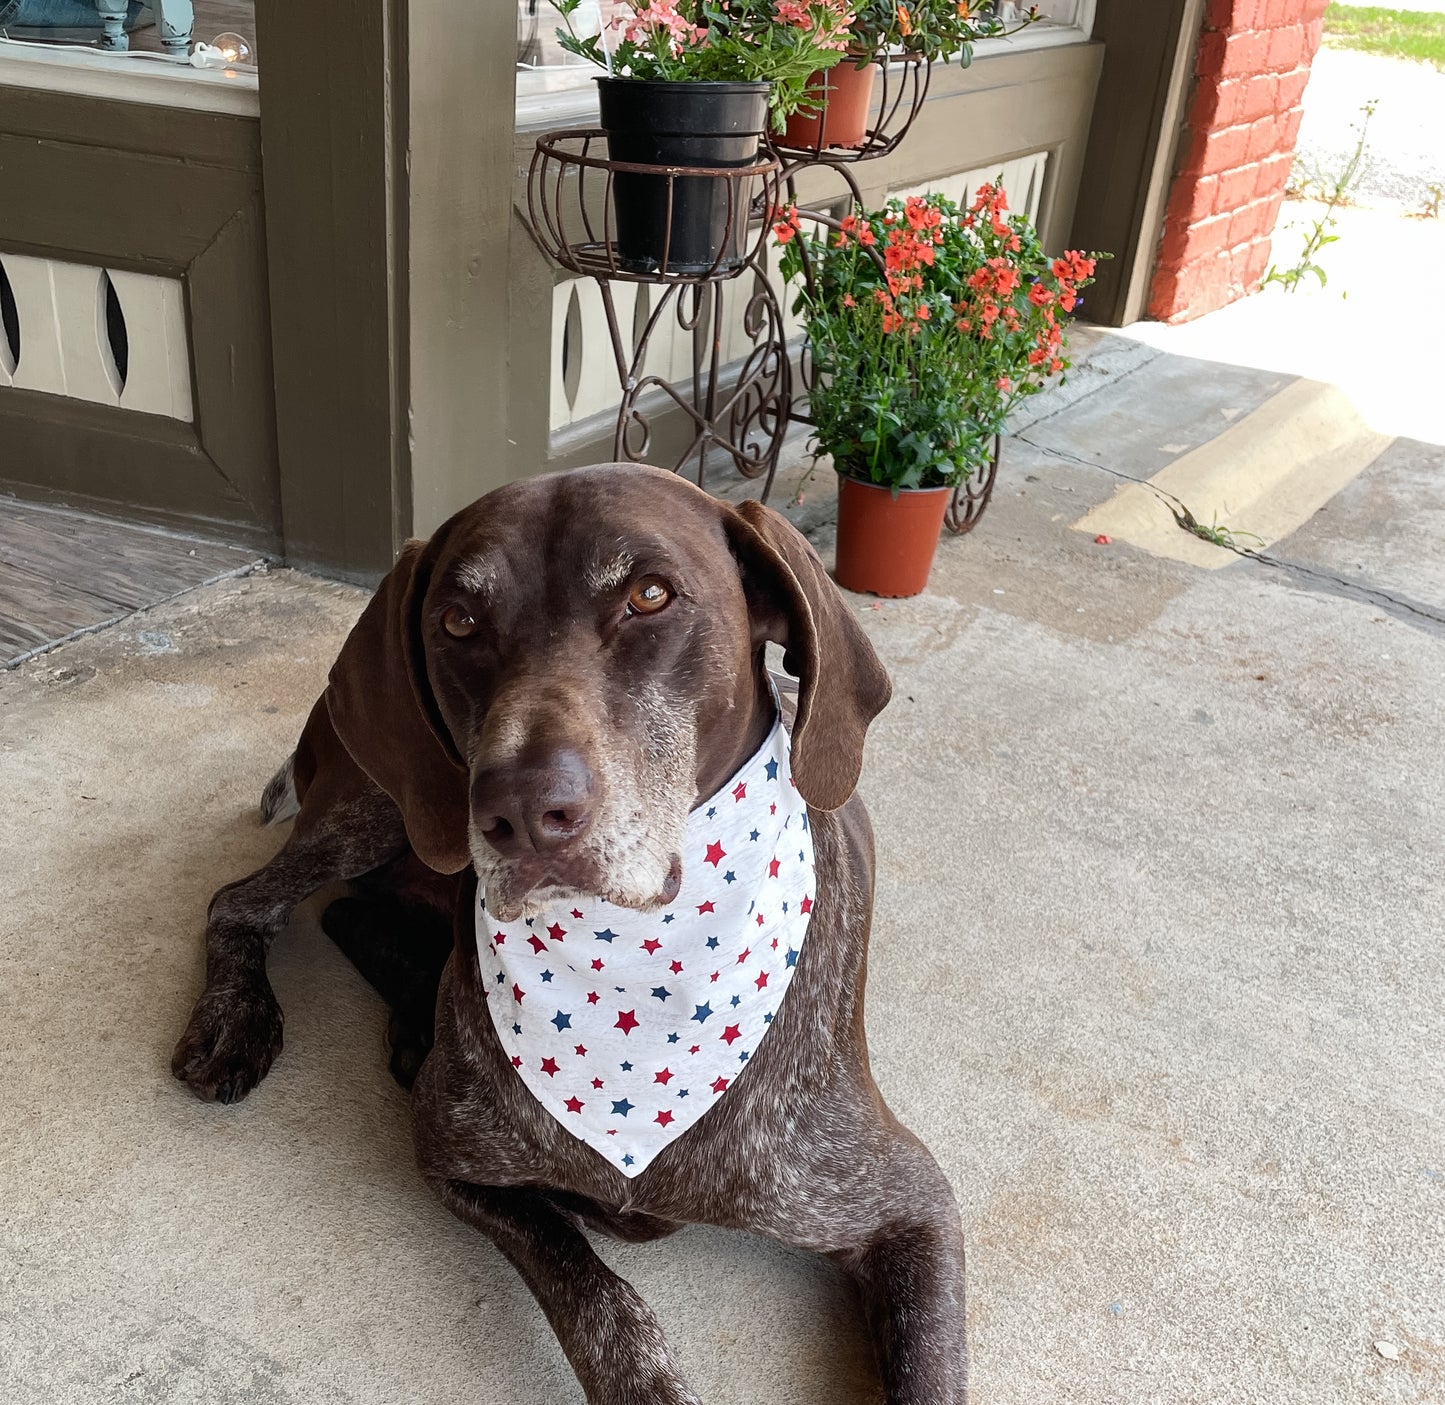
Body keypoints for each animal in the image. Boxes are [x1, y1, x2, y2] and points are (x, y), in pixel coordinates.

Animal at [169, 462, 965, 1405]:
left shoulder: (909, 1207)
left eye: (650, 594)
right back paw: (241, 1019)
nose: (516, 809)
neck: (637, 977)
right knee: (246, 902)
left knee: (347, 913)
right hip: (375, 805)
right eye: (458, 620)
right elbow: (592, 1290)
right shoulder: (453, 1158)